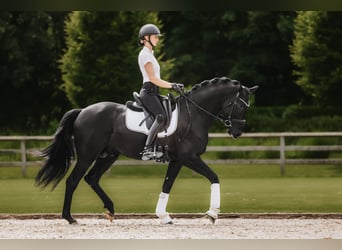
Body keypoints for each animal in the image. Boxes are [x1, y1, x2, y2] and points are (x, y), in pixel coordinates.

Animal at [36, 76, 258, 225]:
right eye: (240, 106)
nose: (237, 132)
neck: (194, 114)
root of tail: (83, 111)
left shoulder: (178, 160)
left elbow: (167, 185)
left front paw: (164, 216)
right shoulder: (189, 157)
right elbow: (214, 177)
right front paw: (212, 214)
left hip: (109, 155)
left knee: (92, 178)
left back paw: (111, 210)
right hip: (87, 155)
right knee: (73, 180)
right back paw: (69, 218)